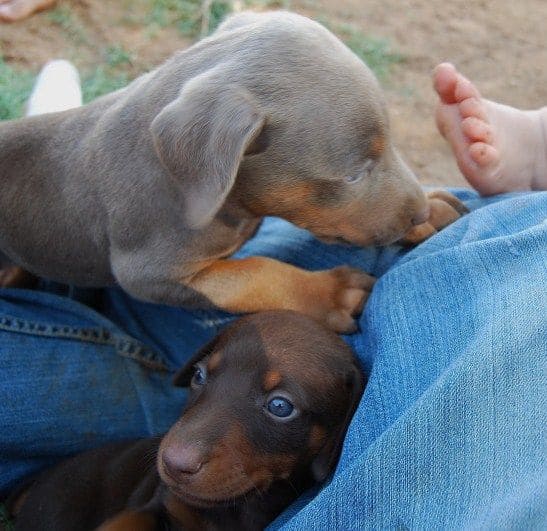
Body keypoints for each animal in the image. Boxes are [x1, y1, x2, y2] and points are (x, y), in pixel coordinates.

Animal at [0, 10, 464, 330]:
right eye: (353, 175)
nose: (420, 213)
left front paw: (434, 208)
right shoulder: (149, 272)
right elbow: (253, 273)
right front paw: (330, 293)